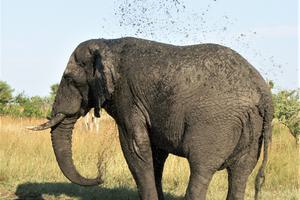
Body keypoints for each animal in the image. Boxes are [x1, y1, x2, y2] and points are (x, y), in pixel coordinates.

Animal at [29, 37, 274, 200]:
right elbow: (155, 153)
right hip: (252, 128)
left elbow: (135, 148)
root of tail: (263, 93)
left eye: (69, 79)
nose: (100, 174)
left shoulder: (127, 96)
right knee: (241, 173)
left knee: (201, 169)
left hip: (215, 124)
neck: (108, 44)